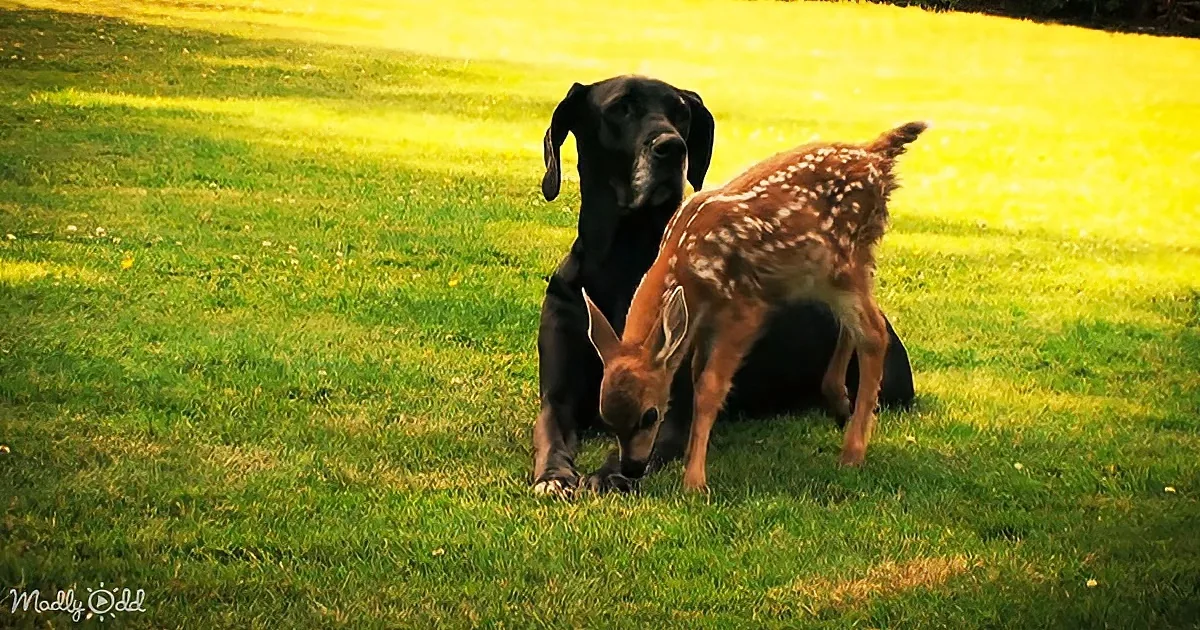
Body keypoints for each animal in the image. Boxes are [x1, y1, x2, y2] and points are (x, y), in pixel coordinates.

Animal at [531, 75, 915, 496]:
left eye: (651, 415)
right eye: (620, 108)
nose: (633, 467)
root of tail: (878, 154)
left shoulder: (743, 307)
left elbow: (709, 388)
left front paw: (692, 482)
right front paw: (560, 478)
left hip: (842, 263)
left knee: (873, 332)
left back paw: (851, 453)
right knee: (859, 325)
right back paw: (838, 401)